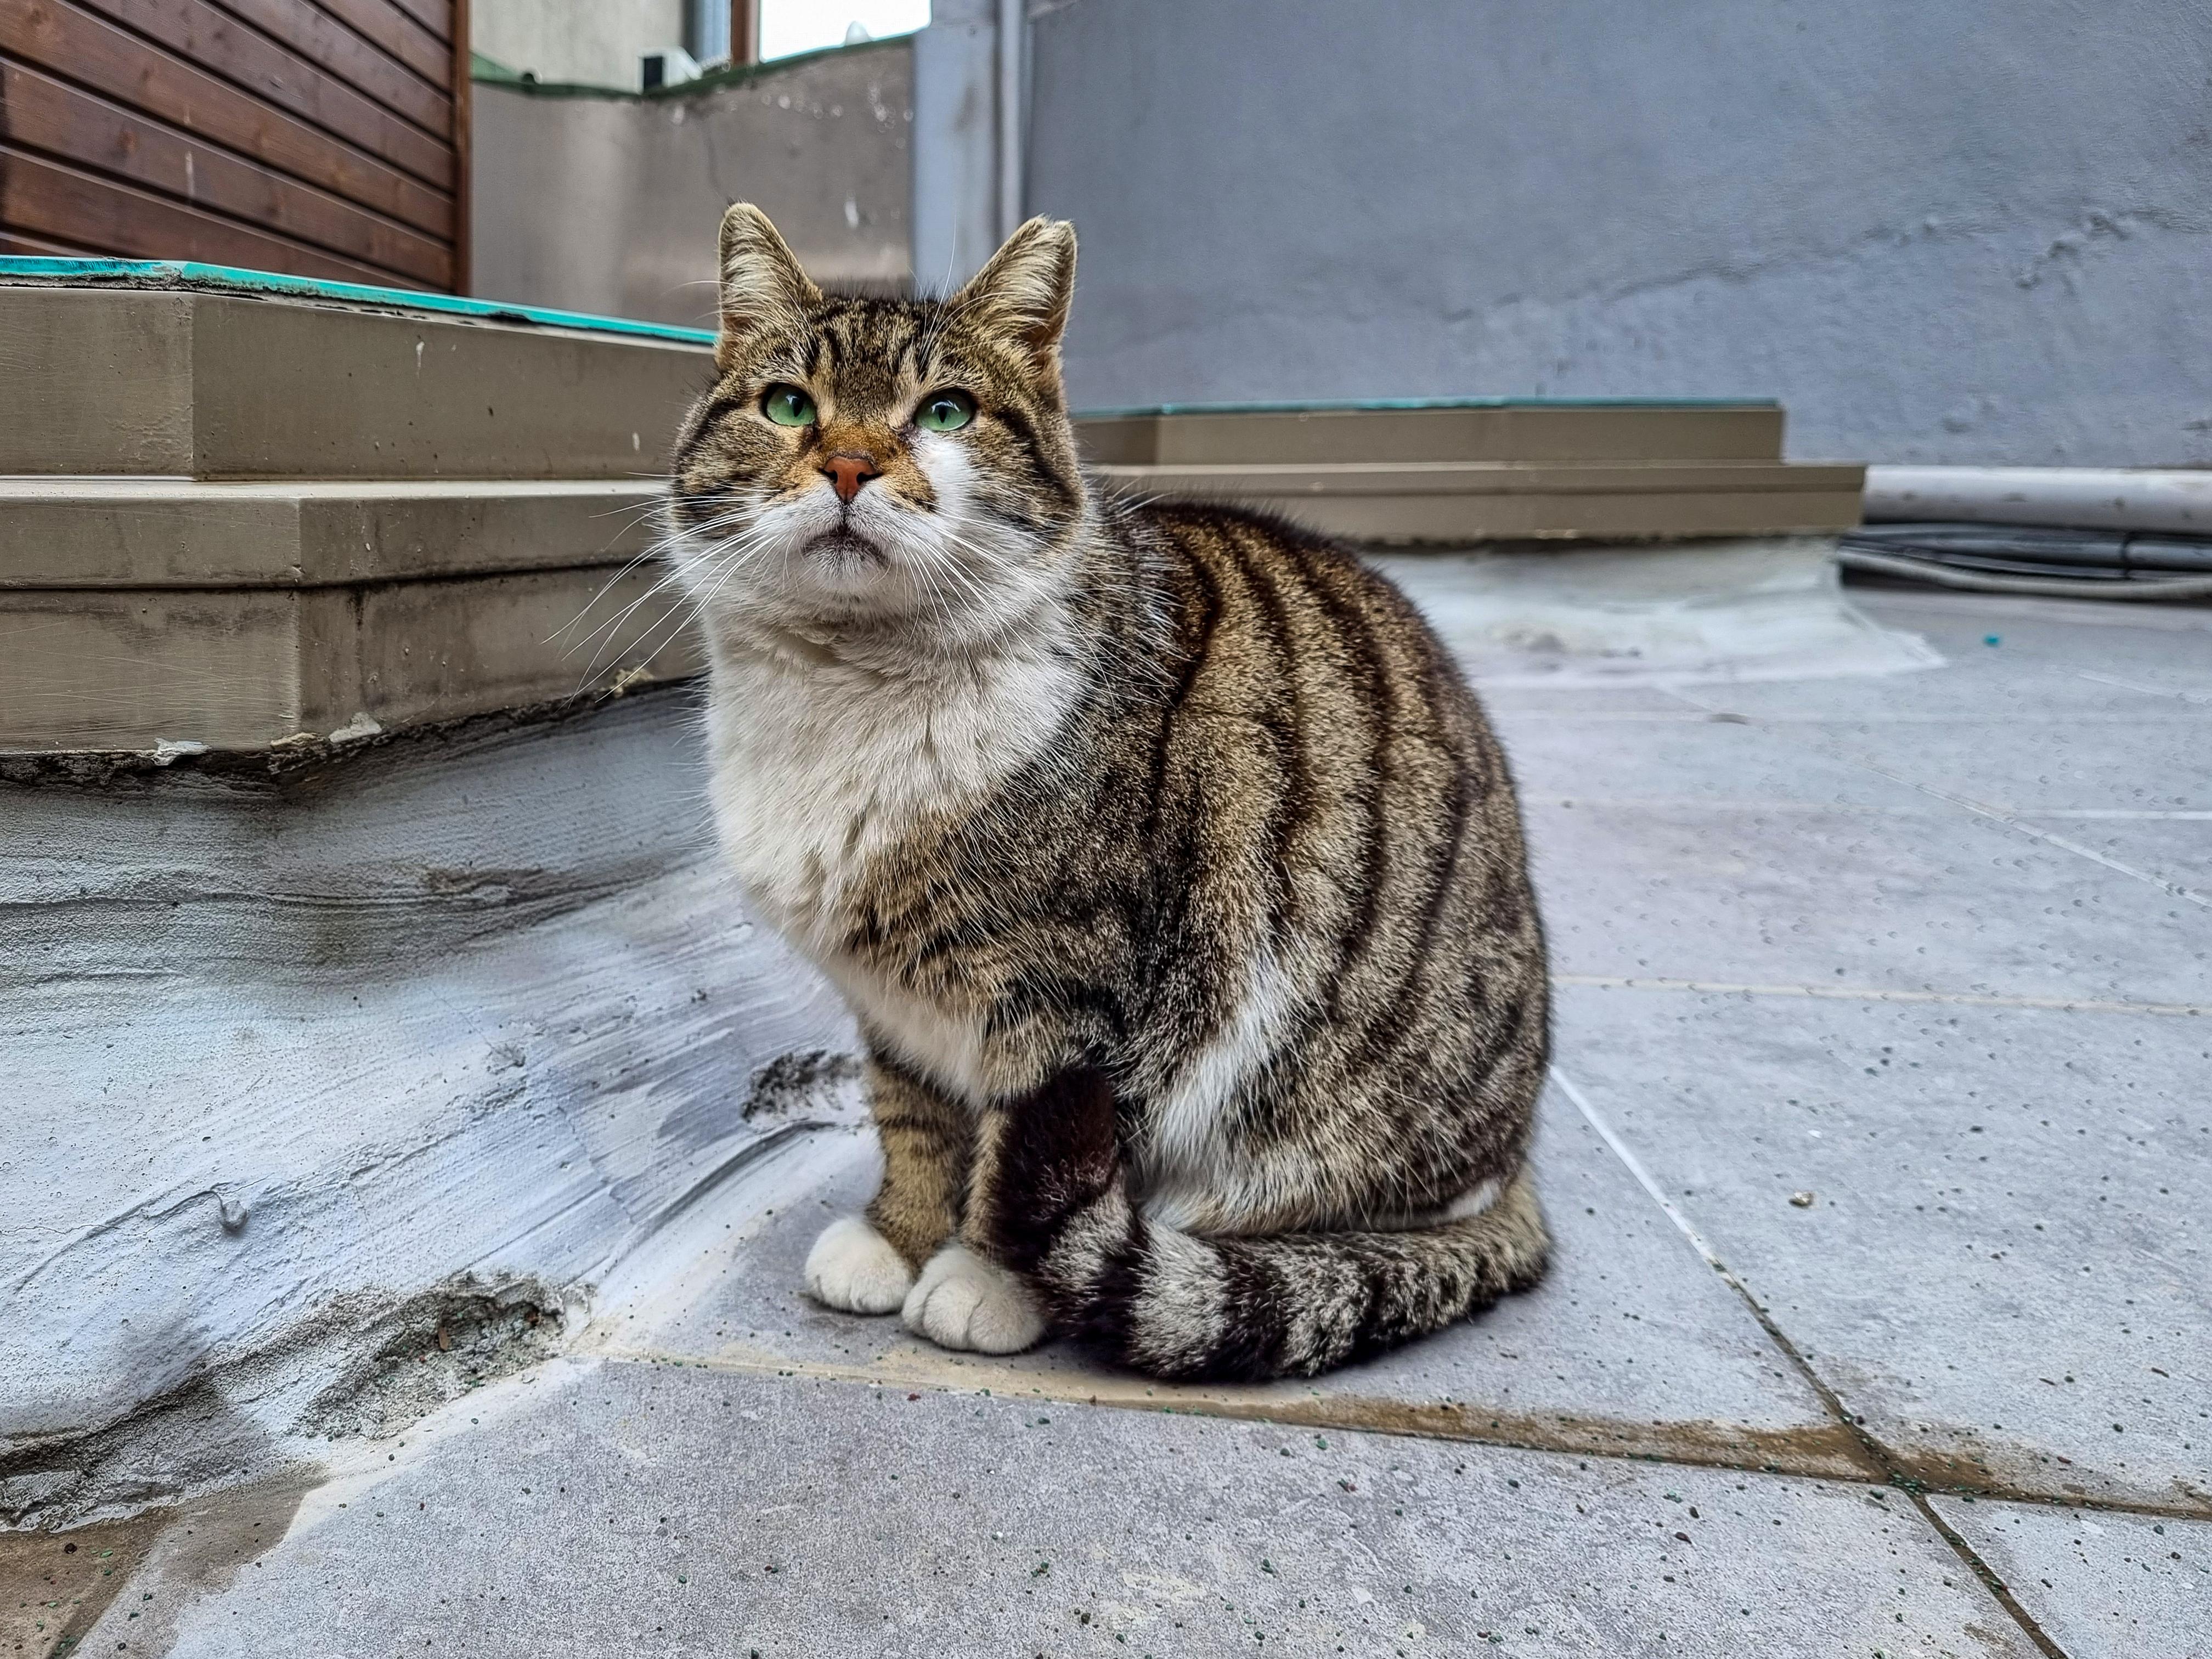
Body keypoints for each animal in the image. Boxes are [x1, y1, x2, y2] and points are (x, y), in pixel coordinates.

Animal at [663, 201, 1548, 1380]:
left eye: (945, 411)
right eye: (789, 404)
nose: (847, 464)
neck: (851, 691)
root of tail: (1519, 1164)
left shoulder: (1077, 997)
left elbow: (1012, 1155)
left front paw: (983, 1280)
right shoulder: (895, 1001)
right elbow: (913, 1120)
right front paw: (897, 1238)